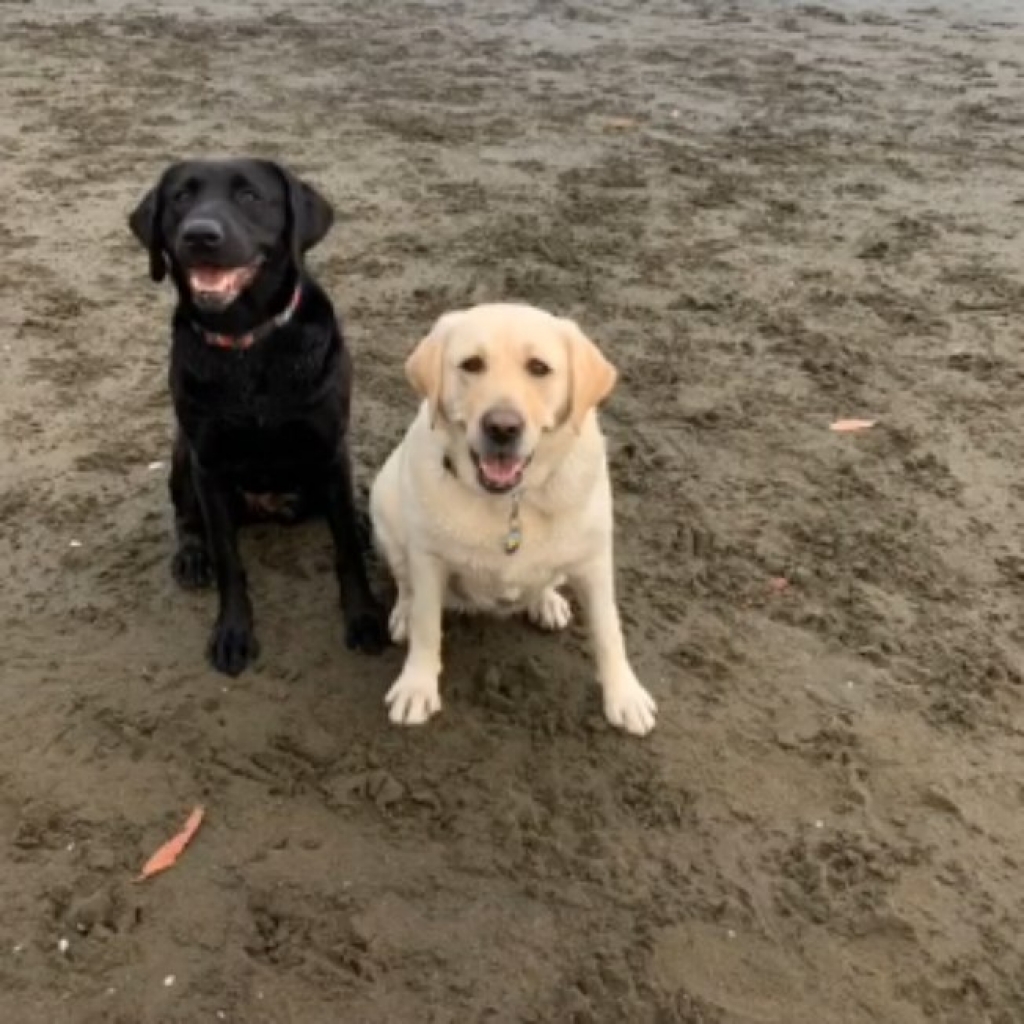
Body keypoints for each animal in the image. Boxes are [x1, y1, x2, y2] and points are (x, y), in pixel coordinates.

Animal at [128, 157, 385, 671]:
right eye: (180, 198)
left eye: (249, 195)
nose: (199, 235)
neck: (247, 344)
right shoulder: (208, 463)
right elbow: (230, 560)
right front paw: (232, 631)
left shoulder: (331, 449)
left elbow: (346, 547)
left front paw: (364, 616)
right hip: (182, 455)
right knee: (186, 519)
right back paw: (192, 555)